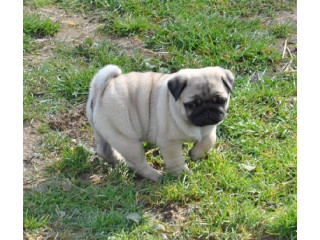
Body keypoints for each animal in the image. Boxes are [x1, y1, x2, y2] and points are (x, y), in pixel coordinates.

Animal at [86, 64, 234, 181]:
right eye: (191, 104)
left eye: (220, 100)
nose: (207, 110)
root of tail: (100, 90)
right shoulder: (169, 143)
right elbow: (175, 160)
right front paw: (182, 174)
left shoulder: (209, 128)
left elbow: (209, 140)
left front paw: (196, 154)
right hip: (128, 140)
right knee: (138, 164)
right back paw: (156, 175)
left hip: (106, 131)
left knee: (104, 150)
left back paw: (119, 161)